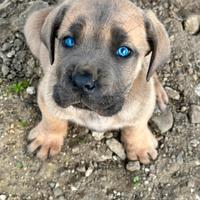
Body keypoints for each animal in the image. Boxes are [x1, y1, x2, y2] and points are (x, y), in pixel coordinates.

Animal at [23, 0, 170, 164]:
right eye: (68, 41)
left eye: (124, 51)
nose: (82, 82)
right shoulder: (47, 95)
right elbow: (52, 118)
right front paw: (47, 139)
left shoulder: (144, 103)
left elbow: (137, 125)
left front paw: (140, 145)